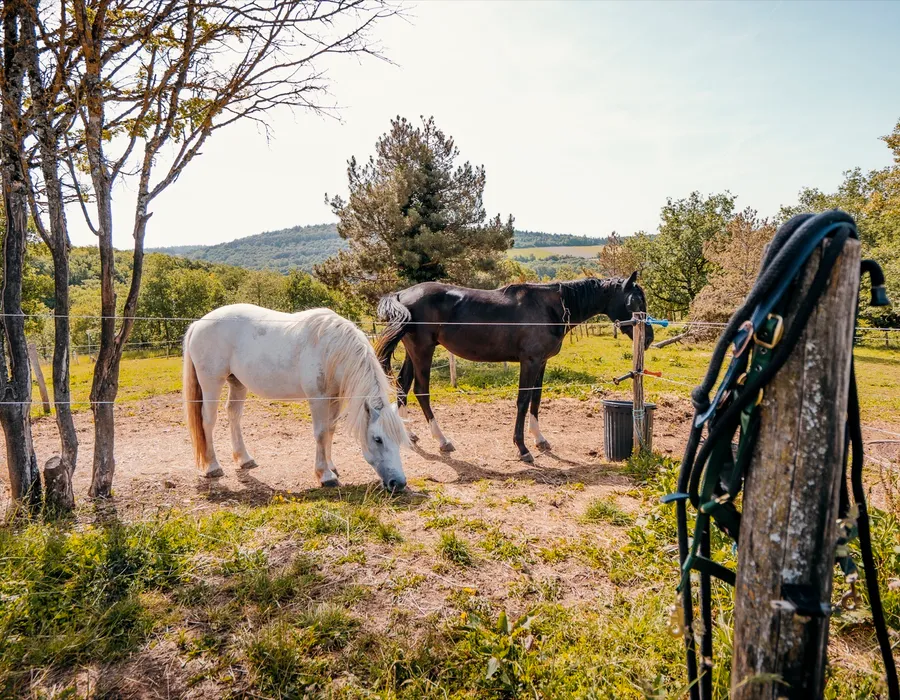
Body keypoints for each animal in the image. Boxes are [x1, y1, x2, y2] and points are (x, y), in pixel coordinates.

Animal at [182, 304, 409, 491]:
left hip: (237, 383)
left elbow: (330, 430)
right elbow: (321, 433)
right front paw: (325, 476)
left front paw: (331, 466)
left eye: (400, 438)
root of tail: (198, 324)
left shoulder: (334, 398)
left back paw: (244, 459)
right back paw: (213, 467)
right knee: (208, 421)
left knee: (234, 415)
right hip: (212, 382)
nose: (398, 483)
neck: (332, 349)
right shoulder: (318, 399)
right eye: (378, 439)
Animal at [375, 272, 652, 463]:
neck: (551, 308)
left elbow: (536, 399)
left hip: (414, 352)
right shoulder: (529, 362)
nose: (647, 337)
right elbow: (523, 400)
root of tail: (401, 294)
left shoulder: (541, 362)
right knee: (421, 391)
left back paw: (408, 434)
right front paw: (522, 447)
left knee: (402, 386)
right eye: (635, 301)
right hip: (423, 351)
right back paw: (442, 441)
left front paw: (539, 439)